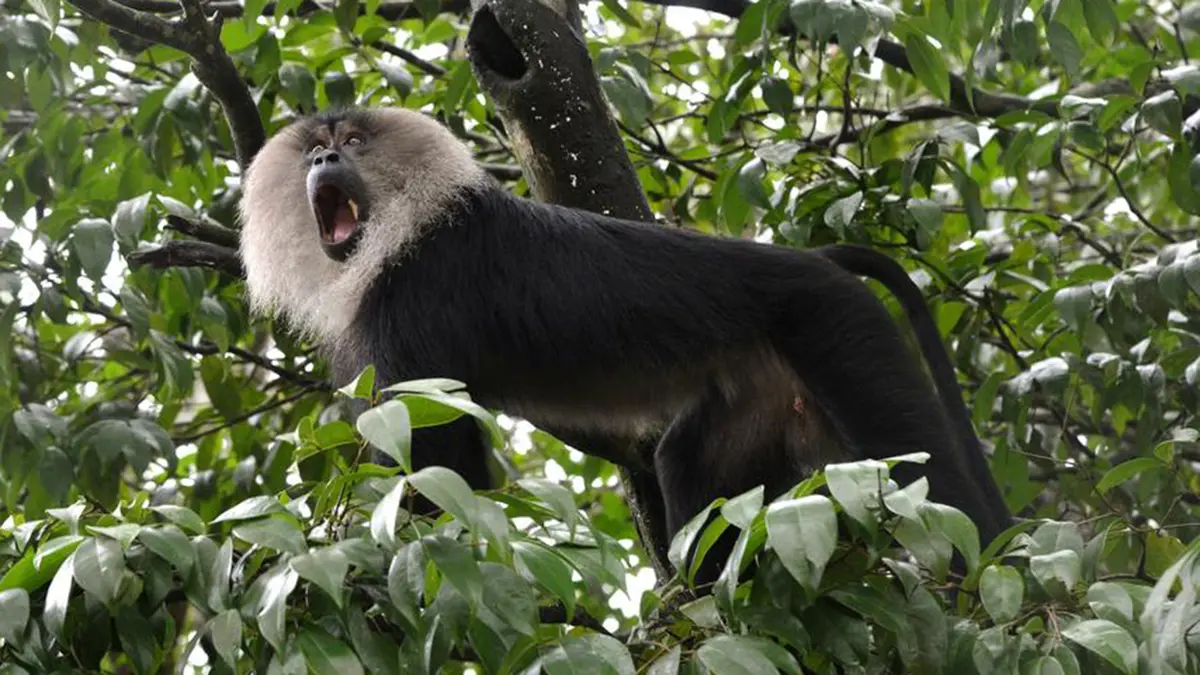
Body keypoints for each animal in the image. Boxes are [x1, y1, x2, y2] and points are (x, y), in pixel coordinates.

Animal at [237, 106, 1011, 582]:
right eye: (315, 150)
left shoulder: (415, 302)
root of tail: (813, 263)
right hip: (754, 398)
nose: (325, 157)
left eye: (353, 142)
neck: (409, 225)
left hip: (838, 325)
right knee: (690, 471)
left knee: (930, 479)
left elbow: (430, 464)